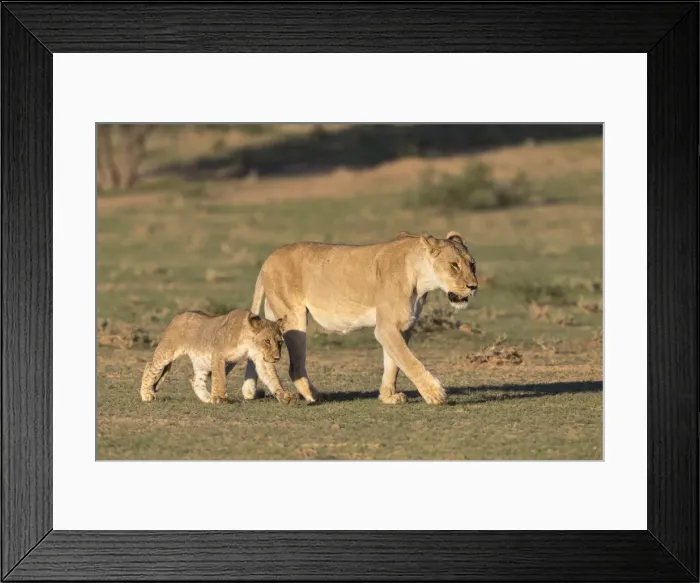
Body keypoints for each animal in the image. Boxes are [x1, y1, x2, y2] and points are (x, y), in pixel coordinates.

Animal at [140, 309, 293, 405]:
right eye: (267, 341)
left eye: (280, 342)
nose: (277, 357)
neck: (249, 341)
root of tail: (177, 316)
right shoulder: (218, 354)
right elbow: (219, 377)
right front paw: (219, 397)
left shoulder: (261, 358)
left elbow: (272, 378)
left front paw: (283, 396)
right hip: (168, 350)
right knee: (150, 365)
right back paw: (146, 395)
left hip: (201, 360)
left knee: (195, 379)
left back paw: (208, 398)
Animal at [240, 231, 478, 405]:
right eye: (454, 265)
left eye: (472, 264)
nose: (473, 286)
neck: (421, 279)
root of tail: (268, 259)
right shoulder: (385, 327)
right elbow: (409, 361)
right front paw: (435, 394)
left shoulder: (402, 326)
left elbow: (394, 363)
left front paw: (388, 396)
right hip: (294, 318)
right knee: (295, 367)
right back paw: (314, 396)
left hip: (274, 316)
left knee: (264, 358)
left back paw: (282, 394)